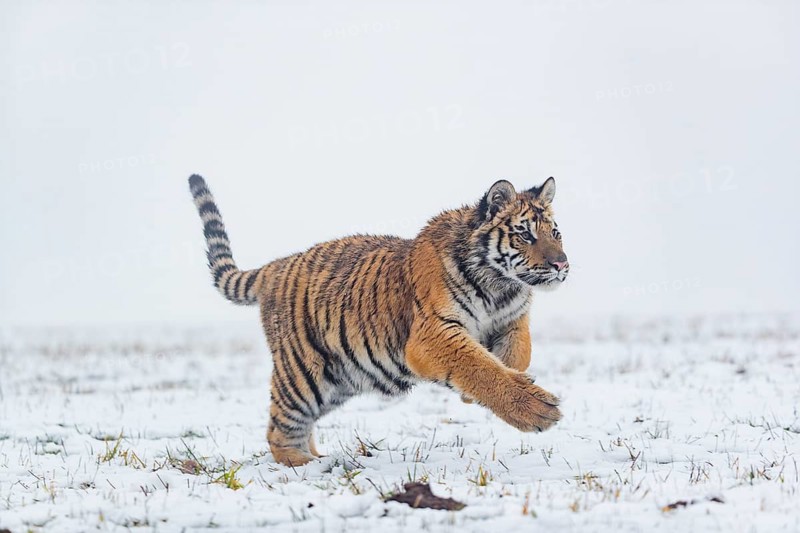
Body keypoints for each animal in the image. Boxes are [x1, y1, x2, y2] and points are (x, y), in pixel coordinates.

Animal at [188, 174, 569, 466]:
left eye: (555, 233)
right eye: (525, 234)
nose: (561, 264)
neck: (500, 285)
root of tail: (277, 265)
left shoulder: (512, 322)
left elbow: (516, 355)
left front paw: (485, 391)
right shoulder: (431, 333)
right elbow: (477, 365)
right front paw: (537, 409)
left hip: (338, 381)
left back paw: (316, 456)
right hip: (303, 377)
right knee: (279, 427)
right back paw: (304, 463)